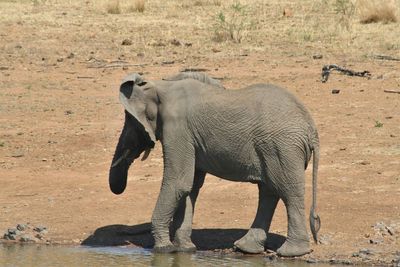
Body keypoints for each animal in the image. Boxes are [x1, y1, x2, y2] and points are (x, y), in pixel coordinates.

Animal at [108, 71, 320, 258]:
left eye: (132, 121)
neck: (161, 85)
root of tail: (311, 129)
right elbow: (190, 187)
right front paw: (185, 250)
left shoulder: (177, 128)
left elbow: (179, 183)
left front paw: (163, 250)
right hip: (273, 148)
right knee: (269, 191)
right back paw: (246, 248)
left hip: (282, 147)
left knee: (287, 191)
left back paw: (291, 252)